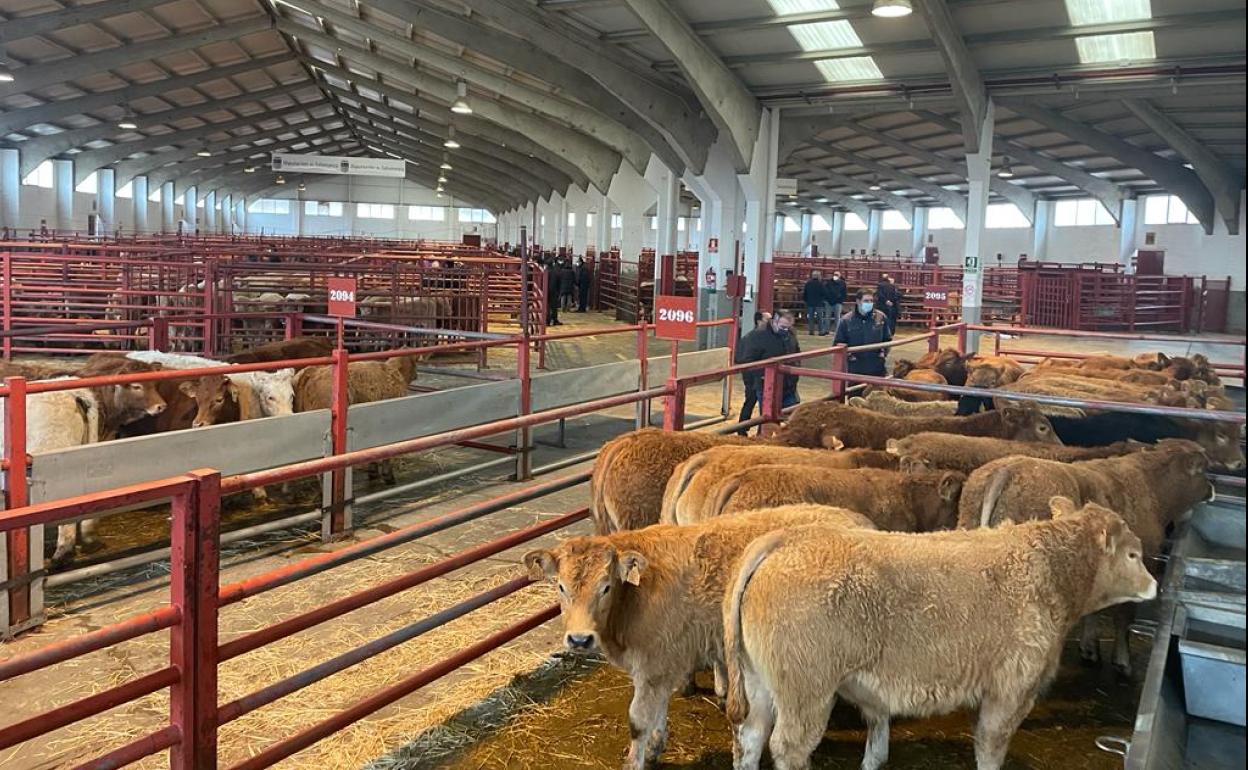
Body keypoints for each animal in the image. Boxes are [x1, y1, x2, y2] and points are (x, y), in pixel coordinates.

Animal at [524, 504, 878, 768]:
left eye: (606, 587)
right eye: (561, 587)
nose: (579, 639)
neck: (635, 597)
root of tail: (858, 520)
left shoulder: (655, 663)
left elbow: (639, 720)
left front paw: (636, 760)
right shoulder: (658, 665)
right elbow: (657, 712)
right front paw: (654, 749)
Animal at [723, 499, 1158, 768]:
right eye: (1133, 555)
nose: (1155, 585)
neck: (1047, 571)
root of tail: (786, 539)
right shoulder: (1013, 687)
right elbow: (990, 746)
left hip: (757, 682)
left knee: (749, 739)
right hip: (806, 691)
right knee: (788, 747)